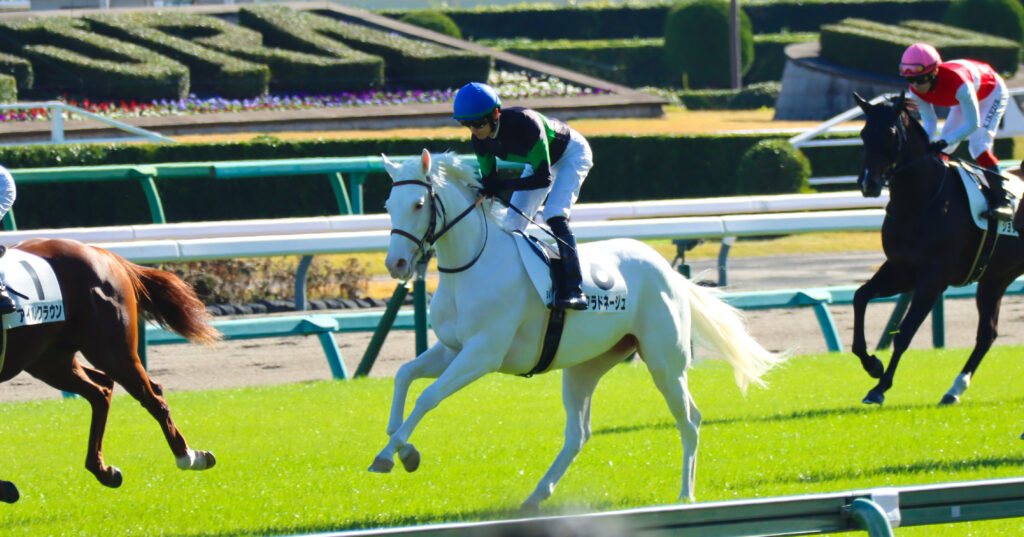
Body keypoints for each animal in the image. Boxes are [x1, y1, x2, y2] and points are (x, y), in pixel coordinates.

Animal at [0, 238, 220, 491]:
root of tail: (106, 255)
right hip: (48, 360)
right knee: (101, 389)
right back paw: (103, 470)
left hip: (112, 352)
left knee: (151, 397)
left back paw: (189, 456)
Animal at [370, 149, 786, 510]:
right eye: (388, 205)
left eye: (418, 204)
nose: (396, 264)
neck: (474, 264)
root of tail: (667, 271)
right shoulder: (453, 348)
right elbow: (404, 375)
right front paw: (400, 446)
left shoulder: (482, 354)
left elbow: (428, 397)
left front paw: (390, 454)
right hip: (585, 366)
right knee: (578, 434)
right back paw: (536, 495)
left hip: (665, 363)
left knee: (690, 419)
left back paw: (686, 494)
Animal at [852, 92, 1024, 405]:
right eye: (862, 133)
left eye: (890, 133)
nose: (868, 183)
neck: (920, 200)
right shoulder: (901, 269)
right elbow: (860, 297)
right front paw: (872, 364)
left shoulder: (933, 278)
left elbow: (904, 332)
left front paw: (880, 387)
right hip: (996, 278)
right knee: (987, 334)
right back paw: (954, 389)